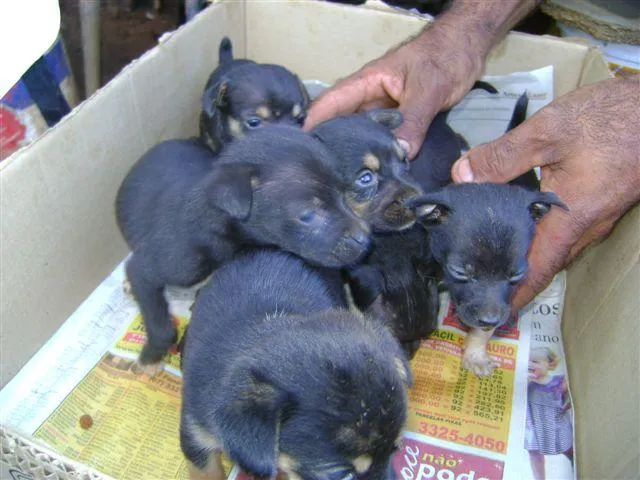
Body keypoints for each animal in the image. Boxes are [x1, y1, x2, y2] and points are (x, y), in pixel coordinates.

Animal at [115, 125, 370, 370]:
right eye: (307, 215)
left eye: (342, 193)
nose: (367, 240)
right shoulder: (156, 267)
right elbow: (161, 324)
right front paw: (150, 358)